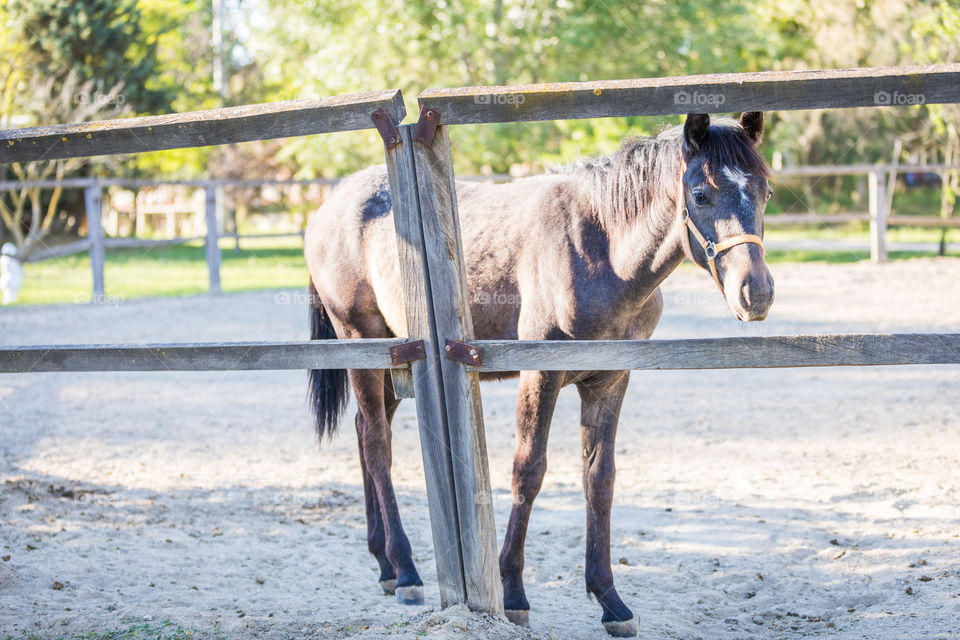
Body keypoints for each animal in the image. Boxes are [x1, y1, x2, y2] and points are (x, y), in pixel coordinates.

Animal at [304, 112, 776, 636]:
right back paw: (405, 571)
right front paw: (512, 592)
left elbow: (600, 479)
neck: (602, 249)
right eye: (700, 193)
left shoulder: (611, 380)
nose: (755, 292)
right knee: (377, 446)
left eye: (765, 191)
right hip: (363, 345)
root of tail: (329, 206)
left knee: (366, 431)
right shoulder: (540, 374)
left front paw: (610, 599)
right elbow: (528, 471)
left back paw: (384, 563)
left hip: (391, 360)